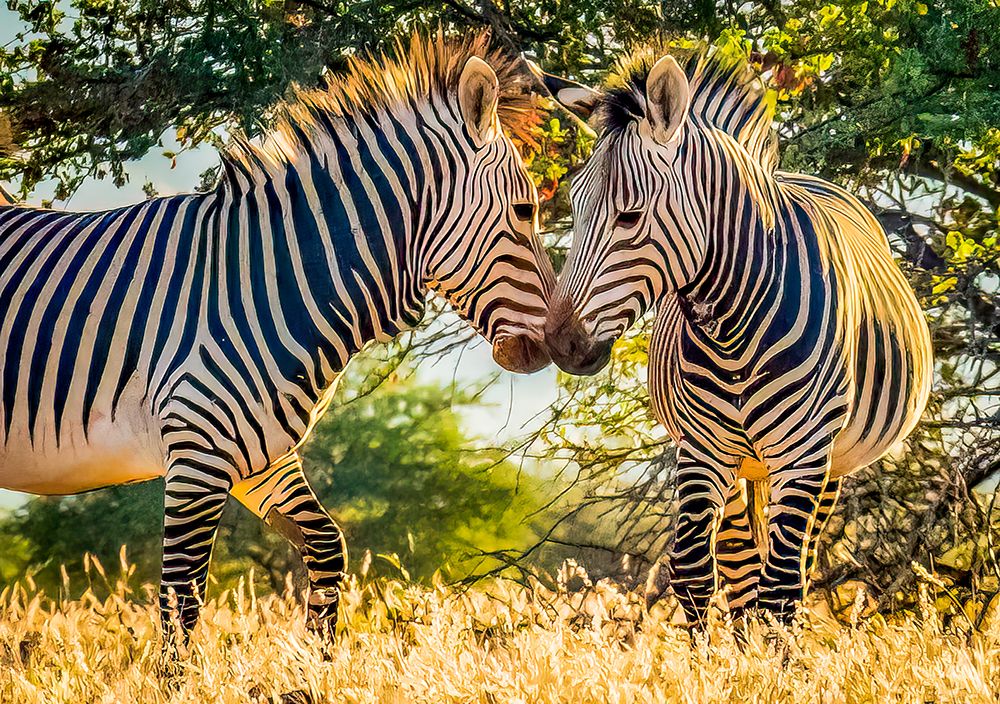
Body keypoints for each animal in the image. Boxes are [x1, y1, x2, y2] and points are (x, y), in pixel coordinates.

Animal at [0, 32, 556, 647]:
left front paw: (315, 659)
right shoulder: (195, 448)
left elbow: (328, 549)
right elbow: (182, 602)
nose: (559, 346)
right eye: (526, 210)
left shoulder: (259, 455)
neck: (274, 279)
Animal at [533, 48, 933, 625]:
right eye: (575, 202)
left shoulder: (805, 453)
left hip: (827, 462)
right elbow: (695, 573)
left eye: (630, 215)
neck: (732, 332)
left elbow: (783, 588)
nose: (560, 343)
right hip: (741, 462)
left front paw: (777, 652)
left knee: (796, 565)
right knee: (742, 565)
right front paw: (716, 655)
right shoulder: (701, 449)